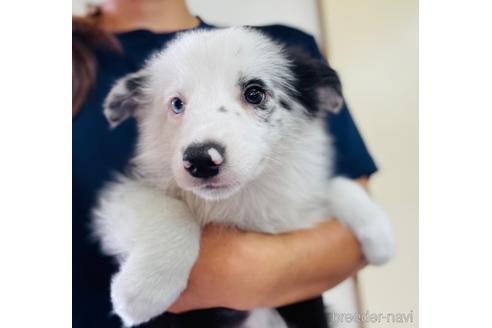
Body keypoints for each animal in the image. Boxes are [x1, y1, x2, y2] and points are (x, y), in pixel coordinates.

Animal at [91, 26, 392, 326]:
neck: (238, 199)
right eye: (176, 104)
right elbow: (171, 211)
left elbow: (332, 185)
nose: (200, 160)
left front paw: (378, 233)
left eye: (254, 94)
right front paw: (143, 290)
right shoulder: (121, 194)